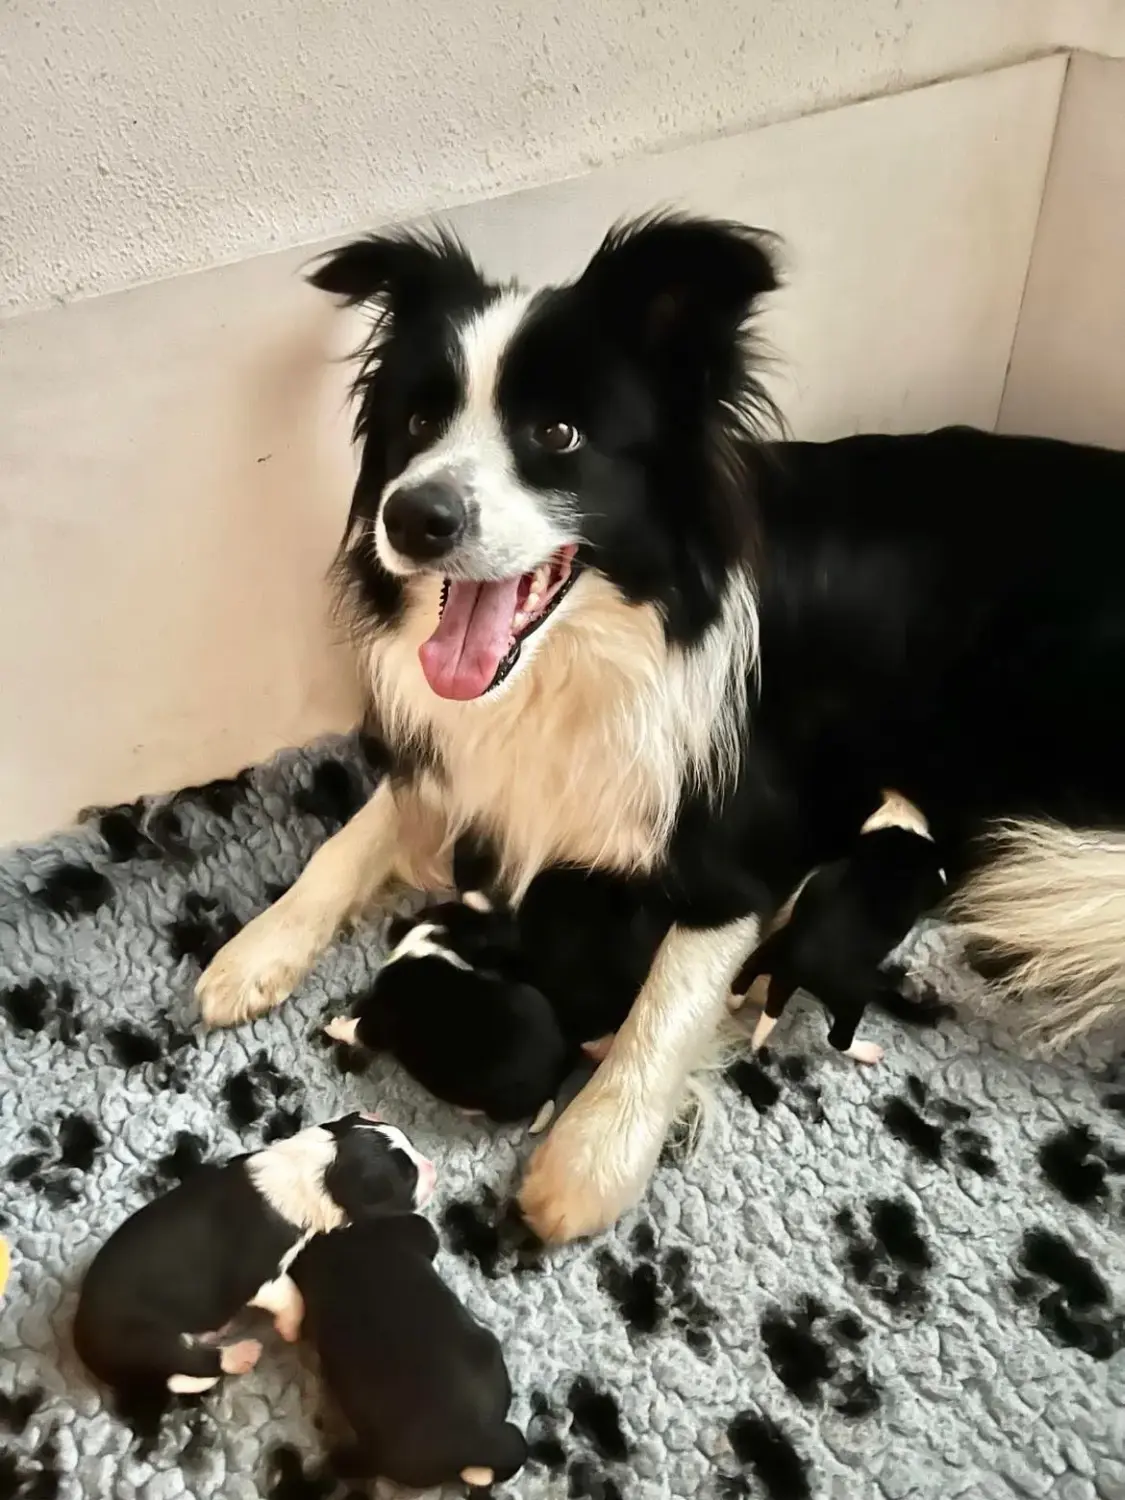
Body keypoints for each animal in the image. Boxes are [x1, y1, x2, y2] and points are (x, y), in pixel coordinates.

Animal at [70, 1116, 432, 1404]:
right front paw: (289, 1329)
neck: (317, 1166)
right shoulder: (260, 1277)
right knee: (195, 1362)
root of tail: (83, 1345)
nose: (433, 1167)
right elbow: (291, 1296)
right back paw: (242, 1354)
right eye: (408, 1176)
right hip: (145, 1338)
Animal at [325, 894, 573, 1128]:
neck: (436, 940)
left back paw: (468, 1110)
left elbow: (358, 1029)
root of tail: (557, 1077)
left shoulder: (382, 1021)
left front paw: (336, 1026)